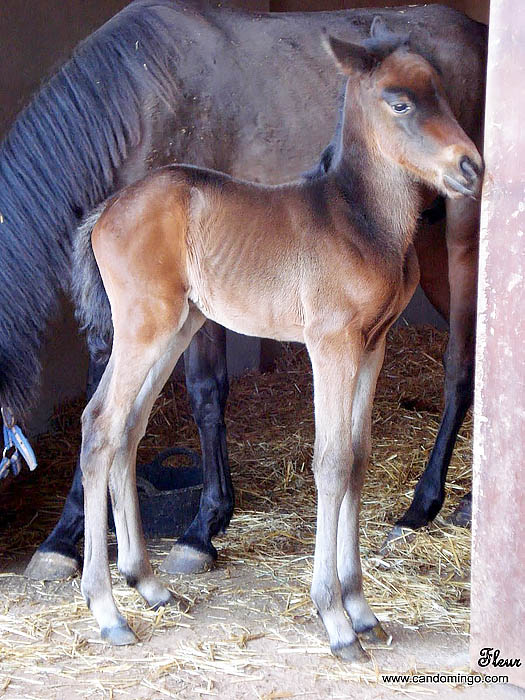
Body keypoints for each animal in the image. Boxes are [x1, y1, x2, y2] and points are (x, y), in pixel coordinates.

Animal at [75, 19, 482, 660]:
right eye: (400, 103)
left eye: (442, 94)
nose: (471, 168)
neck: (361, 220)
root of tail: (107, 210)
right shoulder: (331, 344)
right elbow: (332, 462)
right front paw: (336, 620)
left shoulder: (373, 346)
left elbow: (358, 458)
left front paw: (362, 610)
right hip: (144, 327)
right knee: (99, 427)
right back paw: (108, 610)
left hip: (176, 328)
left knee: (128, 430)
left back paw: (149, 585)